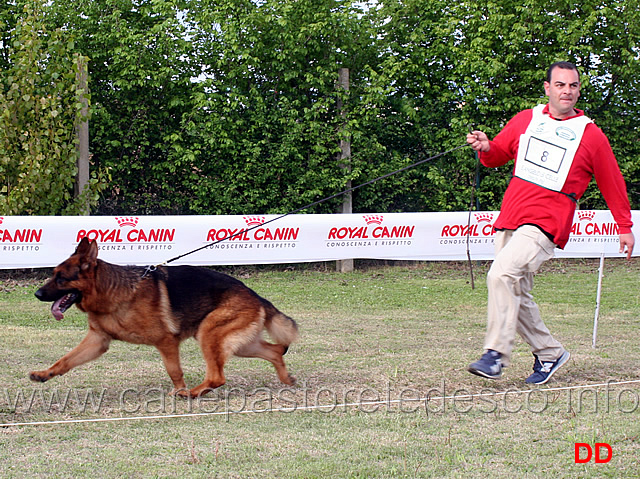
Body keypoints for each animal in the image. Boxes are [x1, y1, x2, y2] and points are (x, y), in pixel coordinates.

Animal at [31, 238, 298, 400]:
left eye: (61, 279)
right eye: (53, 275)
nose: (37, 294)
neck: (113, 291)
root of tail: (257, 296)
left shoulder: (166, 342)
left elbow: (174, 371)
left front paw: (179, 390)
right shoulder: (98, 341)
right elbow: (65, 360)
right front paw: (45, 374)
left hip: (209, 334)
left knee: (217, 376)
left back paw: (191, 393)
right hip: (239, 343)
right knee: (275, 351)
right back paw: (286, 379)